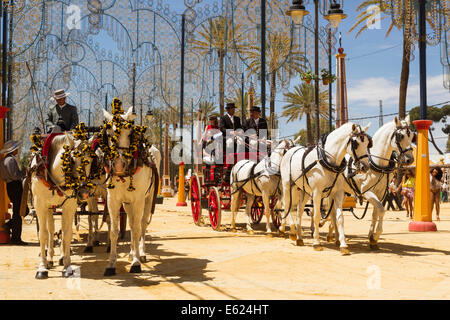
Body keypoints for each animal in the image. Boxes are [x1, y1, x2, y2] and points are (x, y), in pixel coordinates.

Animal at [30, 132, 94, 278]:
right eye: (72, 160)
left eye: (90, 161)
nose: (84, 193)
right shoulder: (40, 205)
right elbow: (43, 234)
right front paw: (42, 268)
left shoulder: (69, 206)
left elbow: (67, 234)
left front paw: (67, 266)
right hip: (48, 207)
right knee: (50, 230)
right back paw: (49, 259)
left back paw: (60, 257)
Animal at [102, 107, 160, 276]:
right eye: (109, 134)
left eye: (129, 134)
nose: (119, 164)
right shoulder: (113, 201)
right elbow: (114, 231)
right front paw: (111, 264)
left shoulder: (139, 200)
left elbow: (137, 229)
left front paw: (136, 262)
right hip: (128, 204)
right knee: (132, 223)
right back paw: (132, 252)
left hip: (147, 200)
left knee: (141, 225)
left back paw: (141, 253)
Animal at [280, 122, 370, 255]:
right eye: (356, 143)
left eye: (368, 143)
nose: (365, 167)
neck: (327, 160)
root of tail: (289, 151)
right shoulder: (317, 192)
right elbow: (317, 216)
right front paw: (316, 243)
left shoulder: (338, 193)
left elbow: (339, 218)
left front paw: (343, 245)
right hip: (288, 186)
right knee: (287, 206)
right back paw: (292, 232)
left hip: (304, 191)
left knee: (299, 210)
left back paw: (299, 238)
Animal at [324, 116, 414, 249]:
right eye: (400, 136)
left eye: (412, 135)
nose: (410, 159)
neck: (375, 162)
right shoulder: (366, 192)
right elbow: (381, 210)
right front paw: (376, 236)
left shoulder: (381, 193)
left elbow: (376, 213)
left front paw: (372, 238)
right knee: (332, 211)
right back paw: (333, 235)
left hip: (344, 192)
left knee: (334, 211)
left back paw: (333, 233)